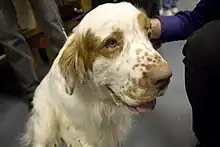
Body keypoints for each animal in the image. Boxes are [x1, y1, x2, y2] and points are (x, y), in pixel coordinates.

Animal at [21, 1, 172, 146]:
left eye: (149, 33)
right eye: (111, 43)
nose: (166, 77)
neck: (99, 102)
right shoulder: (76, 133)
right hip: (45, 126)